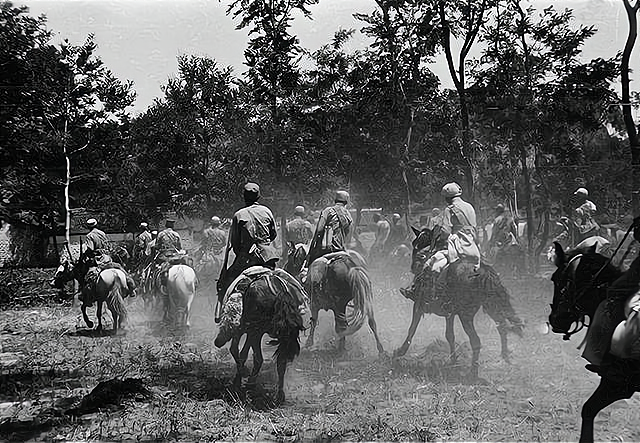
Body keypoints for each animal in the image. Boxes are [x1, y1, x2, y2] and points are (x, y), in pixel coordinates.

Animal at [215, 268, 310, 406]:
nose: (218, 341)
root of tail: (280, 290)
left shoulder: (246, 330)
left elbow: (238, 351)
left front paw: (239, 380)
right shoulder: (250, 331)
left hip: (256, 330)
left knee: (257, 358)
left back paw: (249, 384)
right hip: (281, 336)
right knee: (281, 362)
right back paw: (279, 395)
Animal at [398, 229, 528, 378]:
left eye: (416, 244)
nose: (413, 267)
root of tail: (483, 273)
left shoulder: (418, 306)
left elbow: (412, 329)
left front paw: (400, 351)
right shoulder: (449, 314)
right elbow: (450, 335)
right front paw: (453, 360)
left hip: (466, 315)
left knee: (476, 341)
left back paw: (473, 372)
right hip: (491, 307)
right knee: (502, 327)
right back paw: (504, 355)